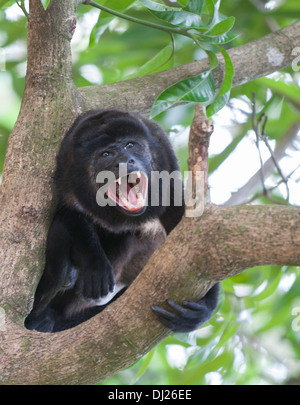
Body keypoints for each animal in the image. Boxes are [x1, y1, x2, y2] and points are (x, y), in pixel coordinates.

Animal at [24, 108, 218, 332]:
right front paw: (95, 265)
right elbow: (65, 215)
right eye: (106, 154)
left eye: (130, 145)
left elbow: (184, 226)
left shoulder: (165, 158)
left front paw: (207, 305)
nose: (125, 162)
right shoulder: (66, 170)